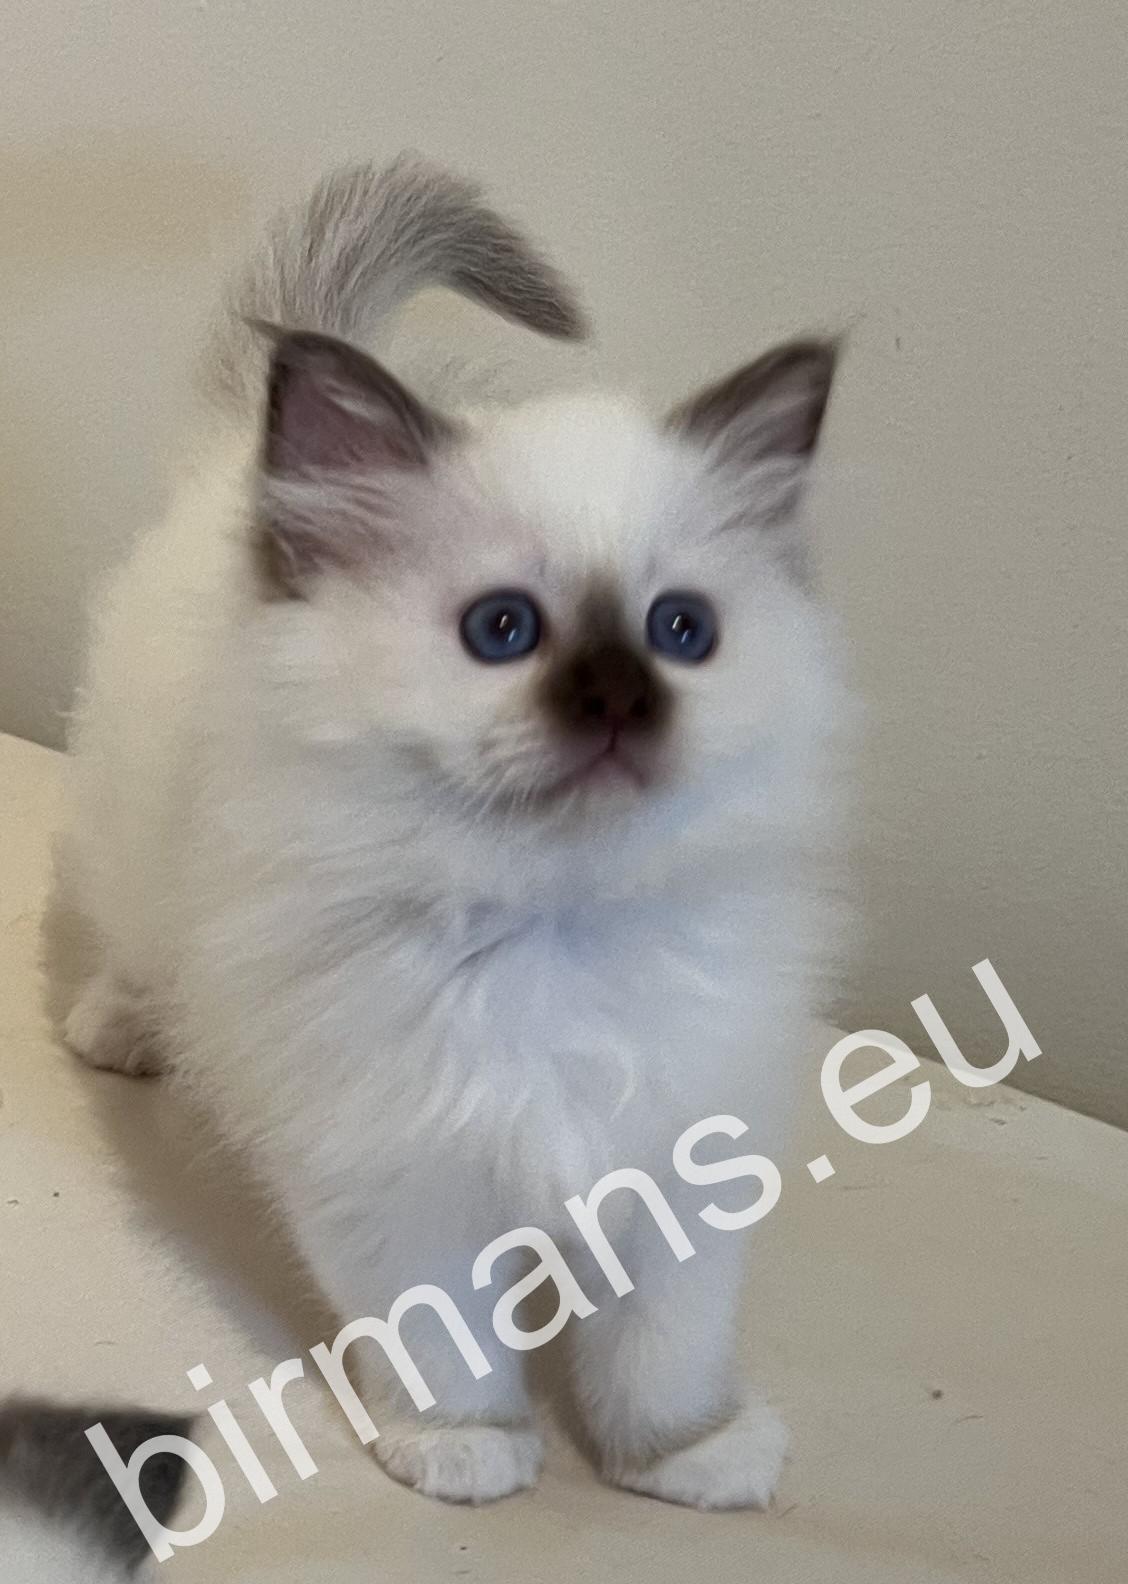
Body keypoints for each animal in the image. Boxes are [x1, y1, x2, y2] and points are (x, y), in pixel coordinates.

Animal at [63, 154, 849, 1509]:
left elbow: (662, 1348)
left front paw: (680, 1456)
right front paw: (465, 1447)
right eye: (503, 630)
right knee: (133, 944)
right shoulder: (393, 1174)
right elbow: (444, 1335)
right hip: (127, 849)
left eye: (681, 633)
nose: (619, 701)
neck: (550, 929)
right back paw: (119, 1029)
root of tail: (232, 465)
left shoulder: (682, 1159)